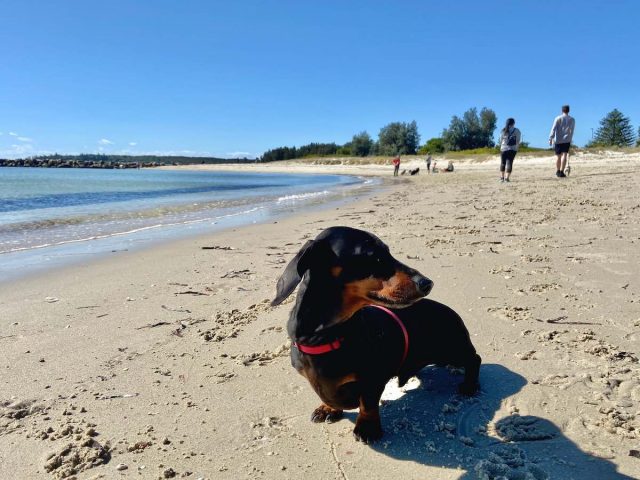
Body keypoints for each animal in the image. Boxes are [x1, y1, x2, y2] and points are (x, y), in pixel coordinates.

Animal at [270, 228, 480, 442]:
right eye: (373, 256)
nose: (427, 283)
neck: (327, 336)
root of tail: (451, 311)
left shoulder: (373, 377)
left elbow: (368, 403)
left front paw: (367, 427)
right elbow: (328, 396)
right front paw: (328, 408)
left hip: (450, 352)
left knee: (474, 359)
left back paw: (470, 385)